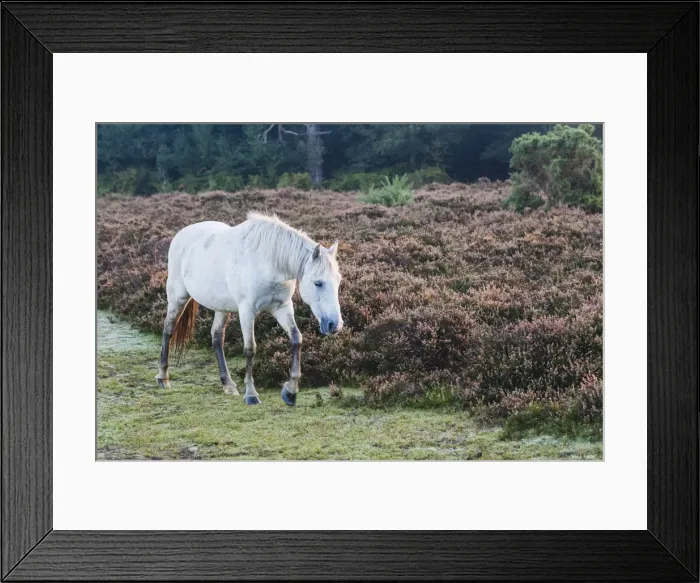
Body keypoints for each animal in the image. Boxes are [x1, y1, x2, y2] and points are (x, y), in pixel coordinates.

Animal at [155, 211, 343, 406]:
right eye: (318, 283)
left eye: (338, 281)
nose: (334, 325)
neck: (268, 263)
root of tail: (182, 234)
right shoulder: (247, 310)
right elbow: (250, 349)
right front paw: (251, 394)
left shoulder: (282, 307)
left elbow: (296, 339)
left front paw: (290, 392)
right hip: (178, 297)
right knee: (168, 329)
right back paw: (163, 378)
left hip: (221, 306)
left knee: (217, 337)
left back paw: (228, 384)